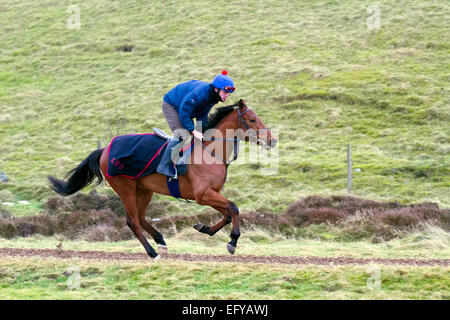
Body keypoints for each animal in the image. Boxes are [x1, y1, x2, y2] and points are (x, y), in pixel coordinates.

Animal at [47, 99, 276, 258]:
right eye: (253, 119)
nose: (272, 140)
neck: (210, 151)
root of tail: (105, 149)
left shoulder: (209, 194)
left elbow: (228, 213)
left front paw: (204, 228)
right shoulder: (202, 194)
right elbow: (234, 208)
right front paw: (233, 242)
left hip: (144, 189)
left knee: (140, 217)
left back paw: (160, 240)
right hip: (125, 188)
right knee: (133, 221)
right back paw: (152, 252)